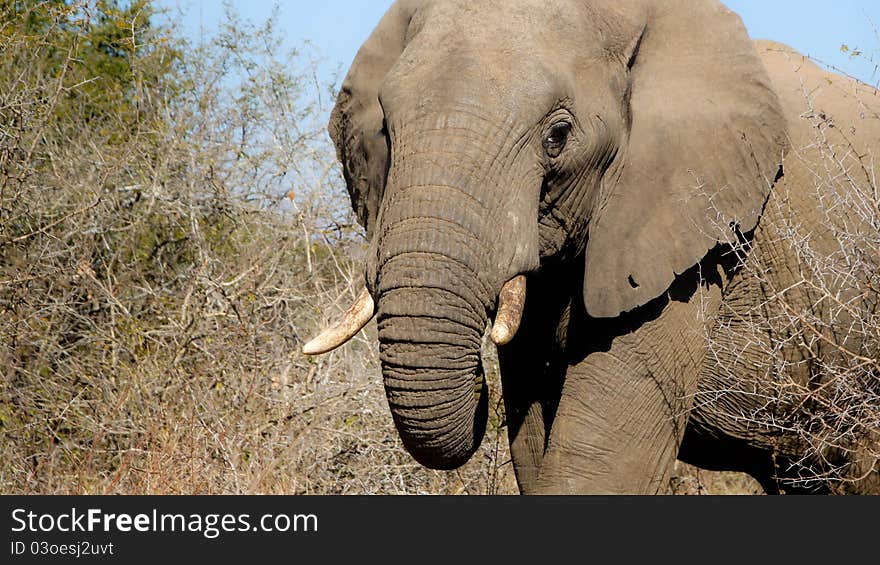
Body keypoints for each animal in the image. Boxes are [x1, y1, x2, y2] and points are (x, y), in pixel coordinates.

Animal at [302, 0, 880, 492]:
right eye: (386, 131)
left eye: (557, 137)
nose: (481, 392)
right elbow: (535, 447)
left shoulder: (688, 239)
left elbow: (601, 464)